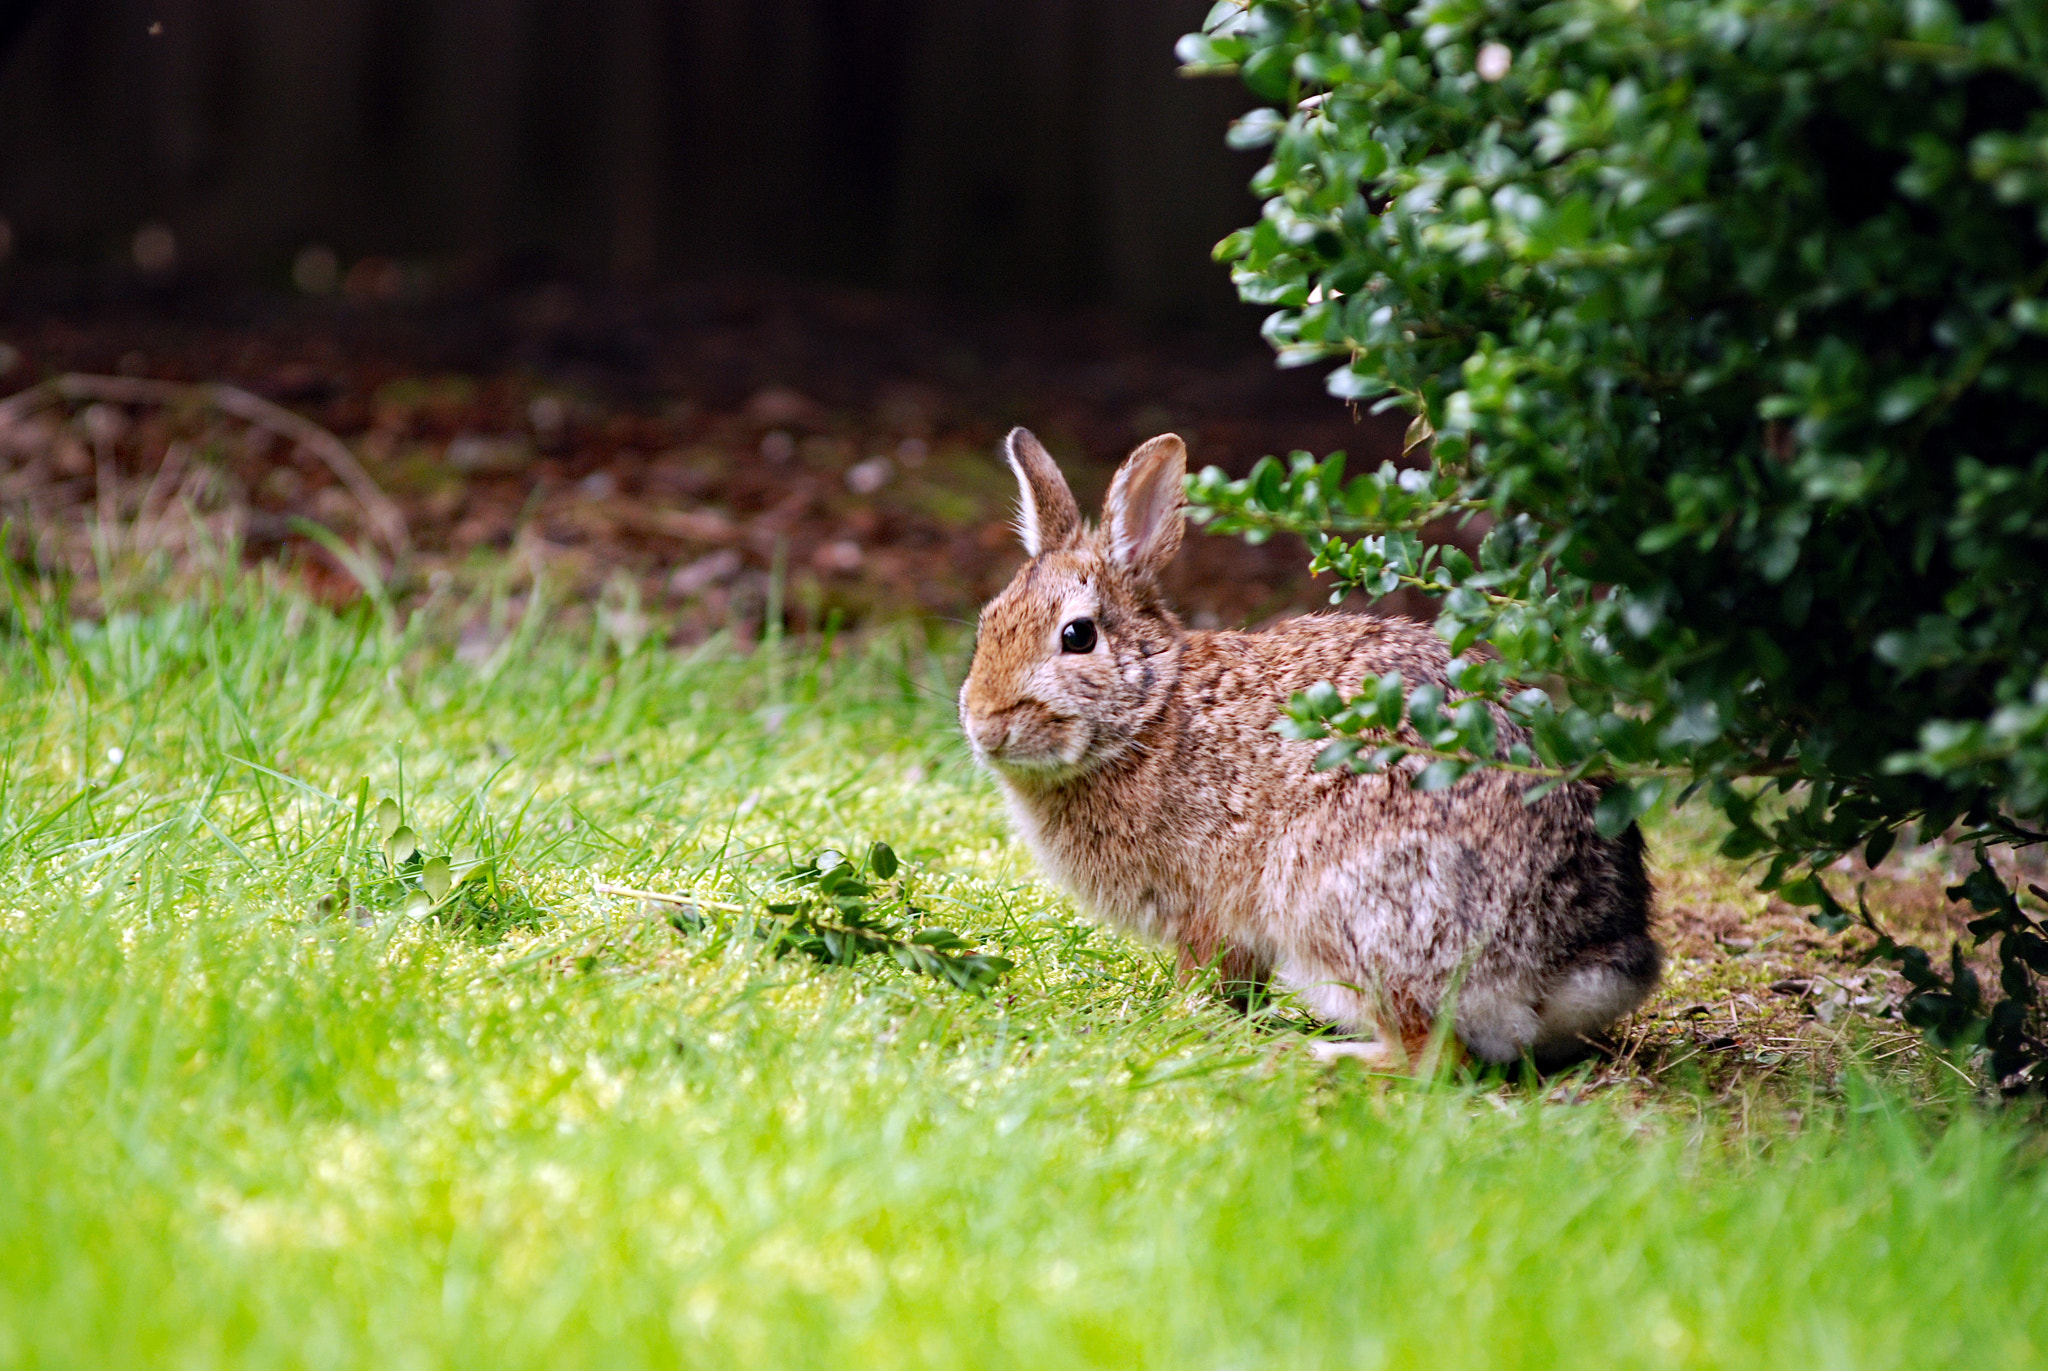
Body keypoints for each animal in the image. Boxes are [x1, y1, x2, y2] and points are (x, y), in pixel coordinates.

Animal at [959, 428, 1661, 1068]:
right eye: (988, 623)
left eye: (1077, 636)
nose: (987, 725)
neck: (1149, 714)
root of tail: (1581, 958)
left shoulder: (1206, 906)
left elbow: (1208, 973)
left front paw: (1185, 1017)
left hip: (1340, 906)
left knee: (1431, 1058)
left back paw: (1318, 1054)